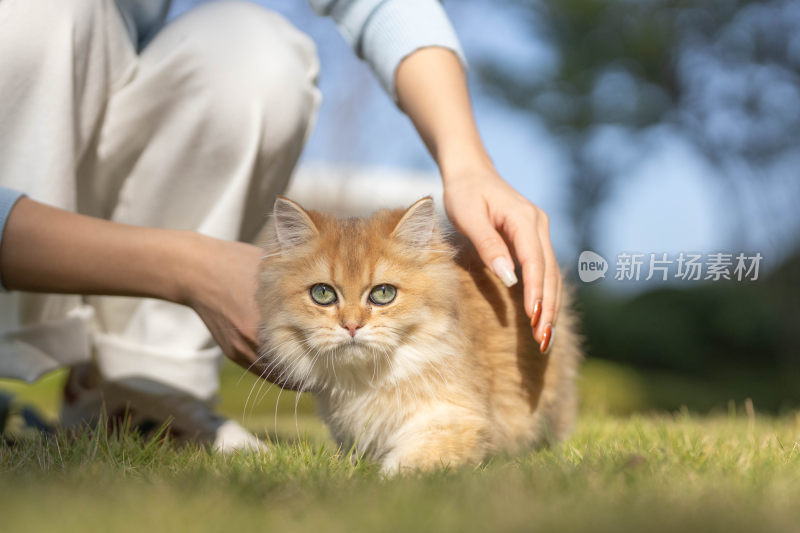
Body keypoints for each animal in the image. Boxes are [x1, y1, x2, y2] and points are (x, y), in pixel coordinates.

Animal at [258, 196, 580, 474]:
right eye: (322, 294)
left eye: (383, 293)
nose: (351, 326)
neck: (369, 379)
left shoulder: (452, 421)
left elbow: (403, 465)